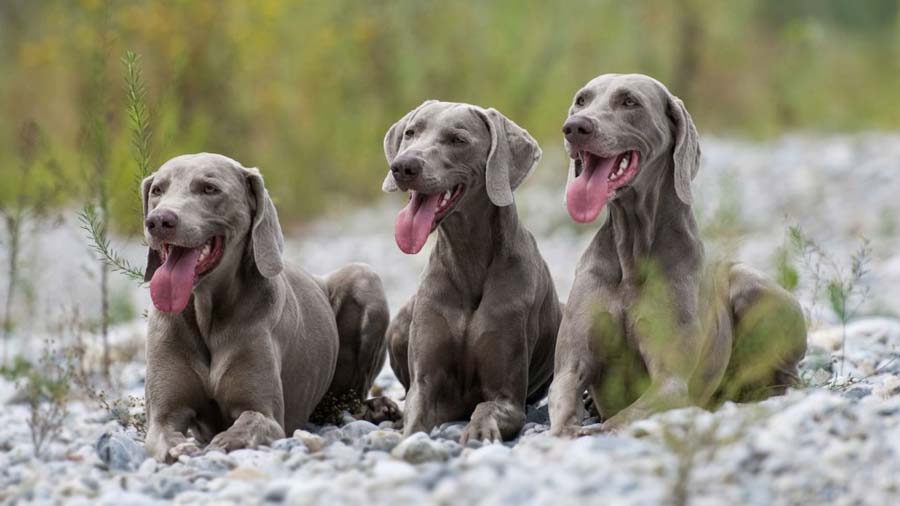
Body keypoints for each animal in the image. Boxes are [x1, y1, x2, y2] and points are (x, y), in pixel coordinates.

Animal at [142, 152, 398, 460]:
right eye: (157, 190)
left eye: (209, 189)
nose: (158, 221)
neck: (206, 313)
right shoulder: (163, 416)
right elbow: (165, 435)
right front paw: (182, 448)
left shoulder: (266, 414)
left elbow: (247, 423)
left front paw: (222, 442)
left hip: (365, 278)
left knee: (352, 400)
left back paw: (379, 408)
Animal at [548, 74, 808, 434]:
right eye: (581, 100)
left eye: (629, 102)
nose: (574, 127)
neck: (632, 251)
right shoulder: (569, 366)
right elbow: (562, 404)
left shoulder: (670, 383)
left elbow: (620, 420)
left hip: (752, 285)